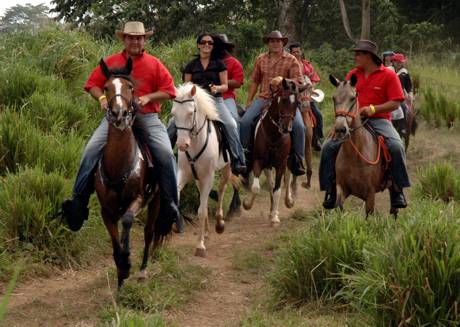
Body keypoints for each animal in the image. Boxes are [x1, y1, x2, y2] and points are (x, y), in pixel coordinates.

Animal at [95, 59, 172, 288]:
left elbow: (128, 221)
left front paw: (128, 262)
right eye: (106, 88)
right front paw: (121, 272)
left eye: (130, 87)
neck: (118, 166)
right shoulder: (106, 210)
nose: (119, 114)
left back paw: (143, 270)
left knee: (149, 233)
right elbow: (114, 244)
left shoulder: (139, 198)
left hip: (156, 200)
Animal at [172, 83, 237, 258]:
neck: (195, 143)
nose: (182, 145)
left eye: (190, 113)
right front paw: (176, 225)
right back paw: (207, 232)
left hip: (226, 169)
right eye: (174, 114)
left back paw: (219, 223)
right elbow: (179, 196)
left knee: (221, 190)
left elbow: (201, 210)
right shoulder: (184, 174)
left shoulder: (208, 177)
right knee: (206, 199)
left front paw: (199, 246)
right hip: (198, 178)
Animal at [241, 77, 302, 226]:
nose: (286, 128)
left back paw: (288, 202)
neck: (274, 135)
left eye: (297, 103)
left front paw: (275, 216)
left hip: (288, 161)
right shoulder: (259, 161)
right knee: (270, 184)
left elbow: (278, 189)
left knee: (288, 177)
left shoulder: (281, 163)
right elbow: (257, 188)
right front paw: (247, 204)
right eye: (283, 99)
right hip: (268, 165)